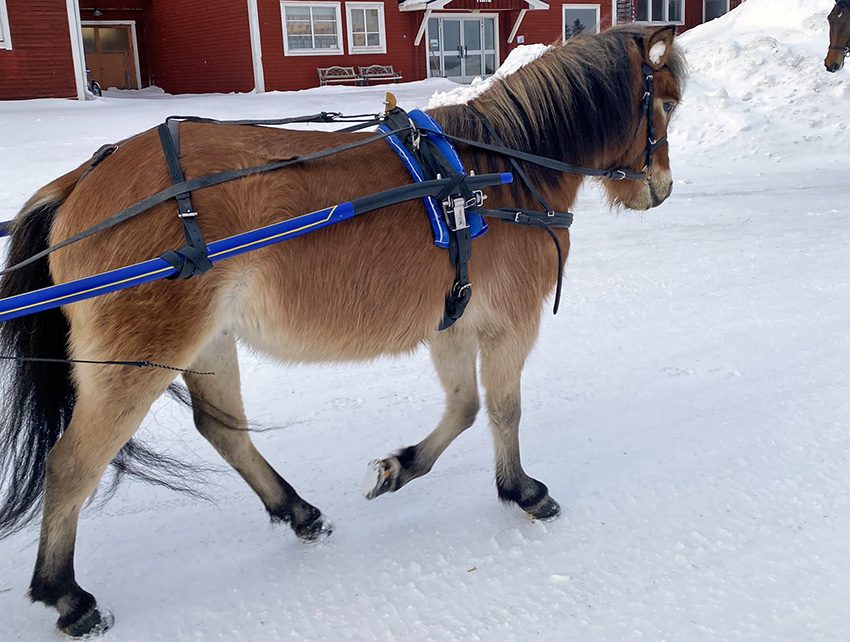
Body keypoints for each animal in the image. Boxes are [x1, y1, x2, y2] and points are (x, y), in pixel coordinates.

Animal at [0, 23, 684, 636]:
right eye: (669, 104)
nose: (661, 189)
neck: (494, 175)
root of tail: (79, 183)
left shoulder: (452, 320)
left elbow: (464, 408)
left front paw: (401, 467)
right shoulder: (508, 322)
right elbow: (505, 409)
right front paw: (520, 489)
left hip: (210, 342)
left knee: (222, 431)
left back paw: (298, 511)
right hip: (139, 359)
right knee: (73, 464)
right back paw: (66, 595)